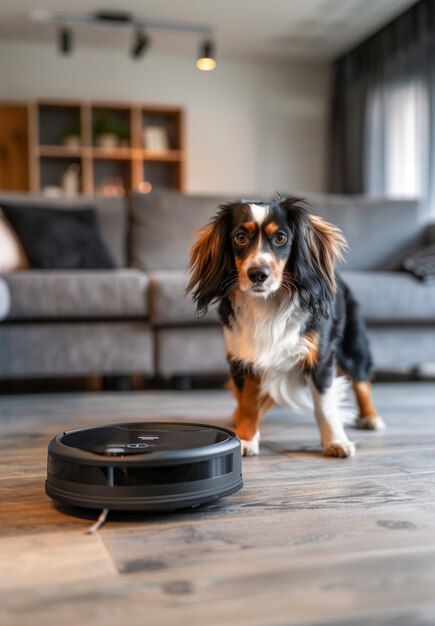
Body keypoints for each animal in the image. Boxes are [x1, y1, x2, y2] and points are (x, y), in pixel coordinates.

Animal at [187, 197, 384, 456]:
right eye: (240, 237)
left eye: (280, 237)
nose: (257, 274)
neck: (268, 303)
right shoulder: (242, 358)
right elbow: (247, 402)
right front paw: (246, 438)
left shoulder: (321, 359)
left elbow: (325, 406)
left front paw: (335, 441)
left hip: (353, 346)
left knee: (361, 380)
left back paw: (370, 417)